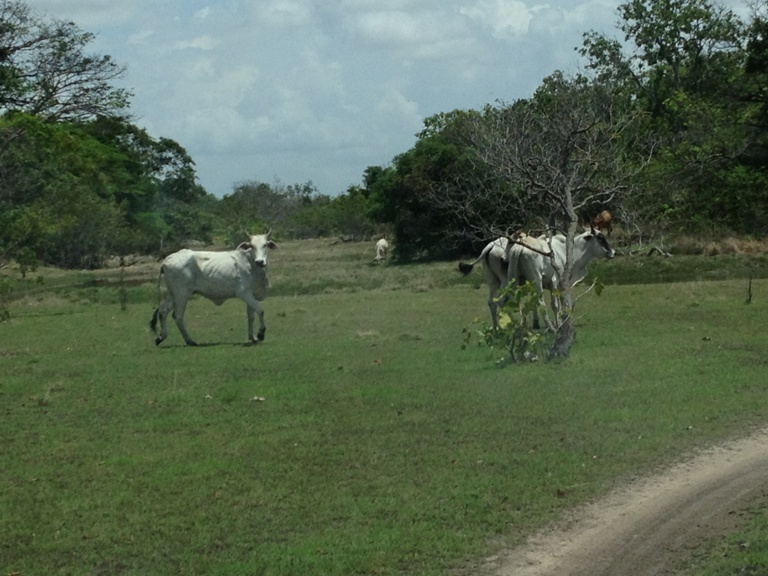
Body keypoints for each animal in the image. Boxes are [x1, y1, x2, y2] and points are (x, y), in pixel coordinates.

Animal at [148, 231, 278, 346]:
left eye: (265, 245)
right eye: (251, 246)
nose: (260, 261)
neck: (251, 264)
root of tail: (167, 259)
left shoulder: (251, 295)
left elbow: (251, 316)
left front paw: (253, 337)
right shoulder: (243, 293)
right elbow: (260, 310)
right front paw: (261, 334)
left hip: (173, 294)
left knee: (162, 312)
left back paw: (161, 337)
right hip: (182, 294)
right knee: (177, 316)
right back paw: (190, 341)